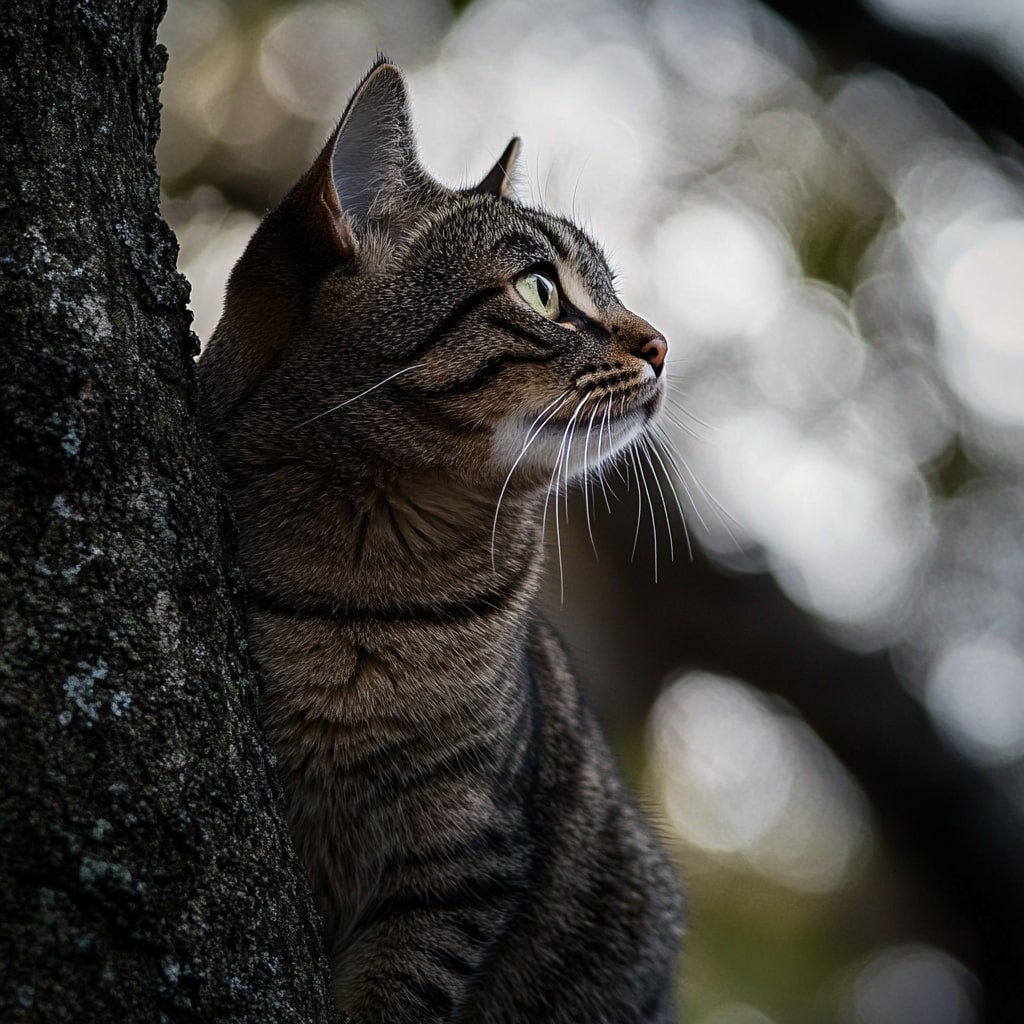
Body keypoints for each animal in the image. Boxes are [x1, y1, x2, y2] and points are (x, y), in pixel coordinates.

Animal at [197, 58, 679, 1024]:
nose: (662, 343)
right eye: (540, 289)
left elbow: (399, 994)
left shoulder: (461, 855)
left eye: (612, 290)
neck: (367, 584)